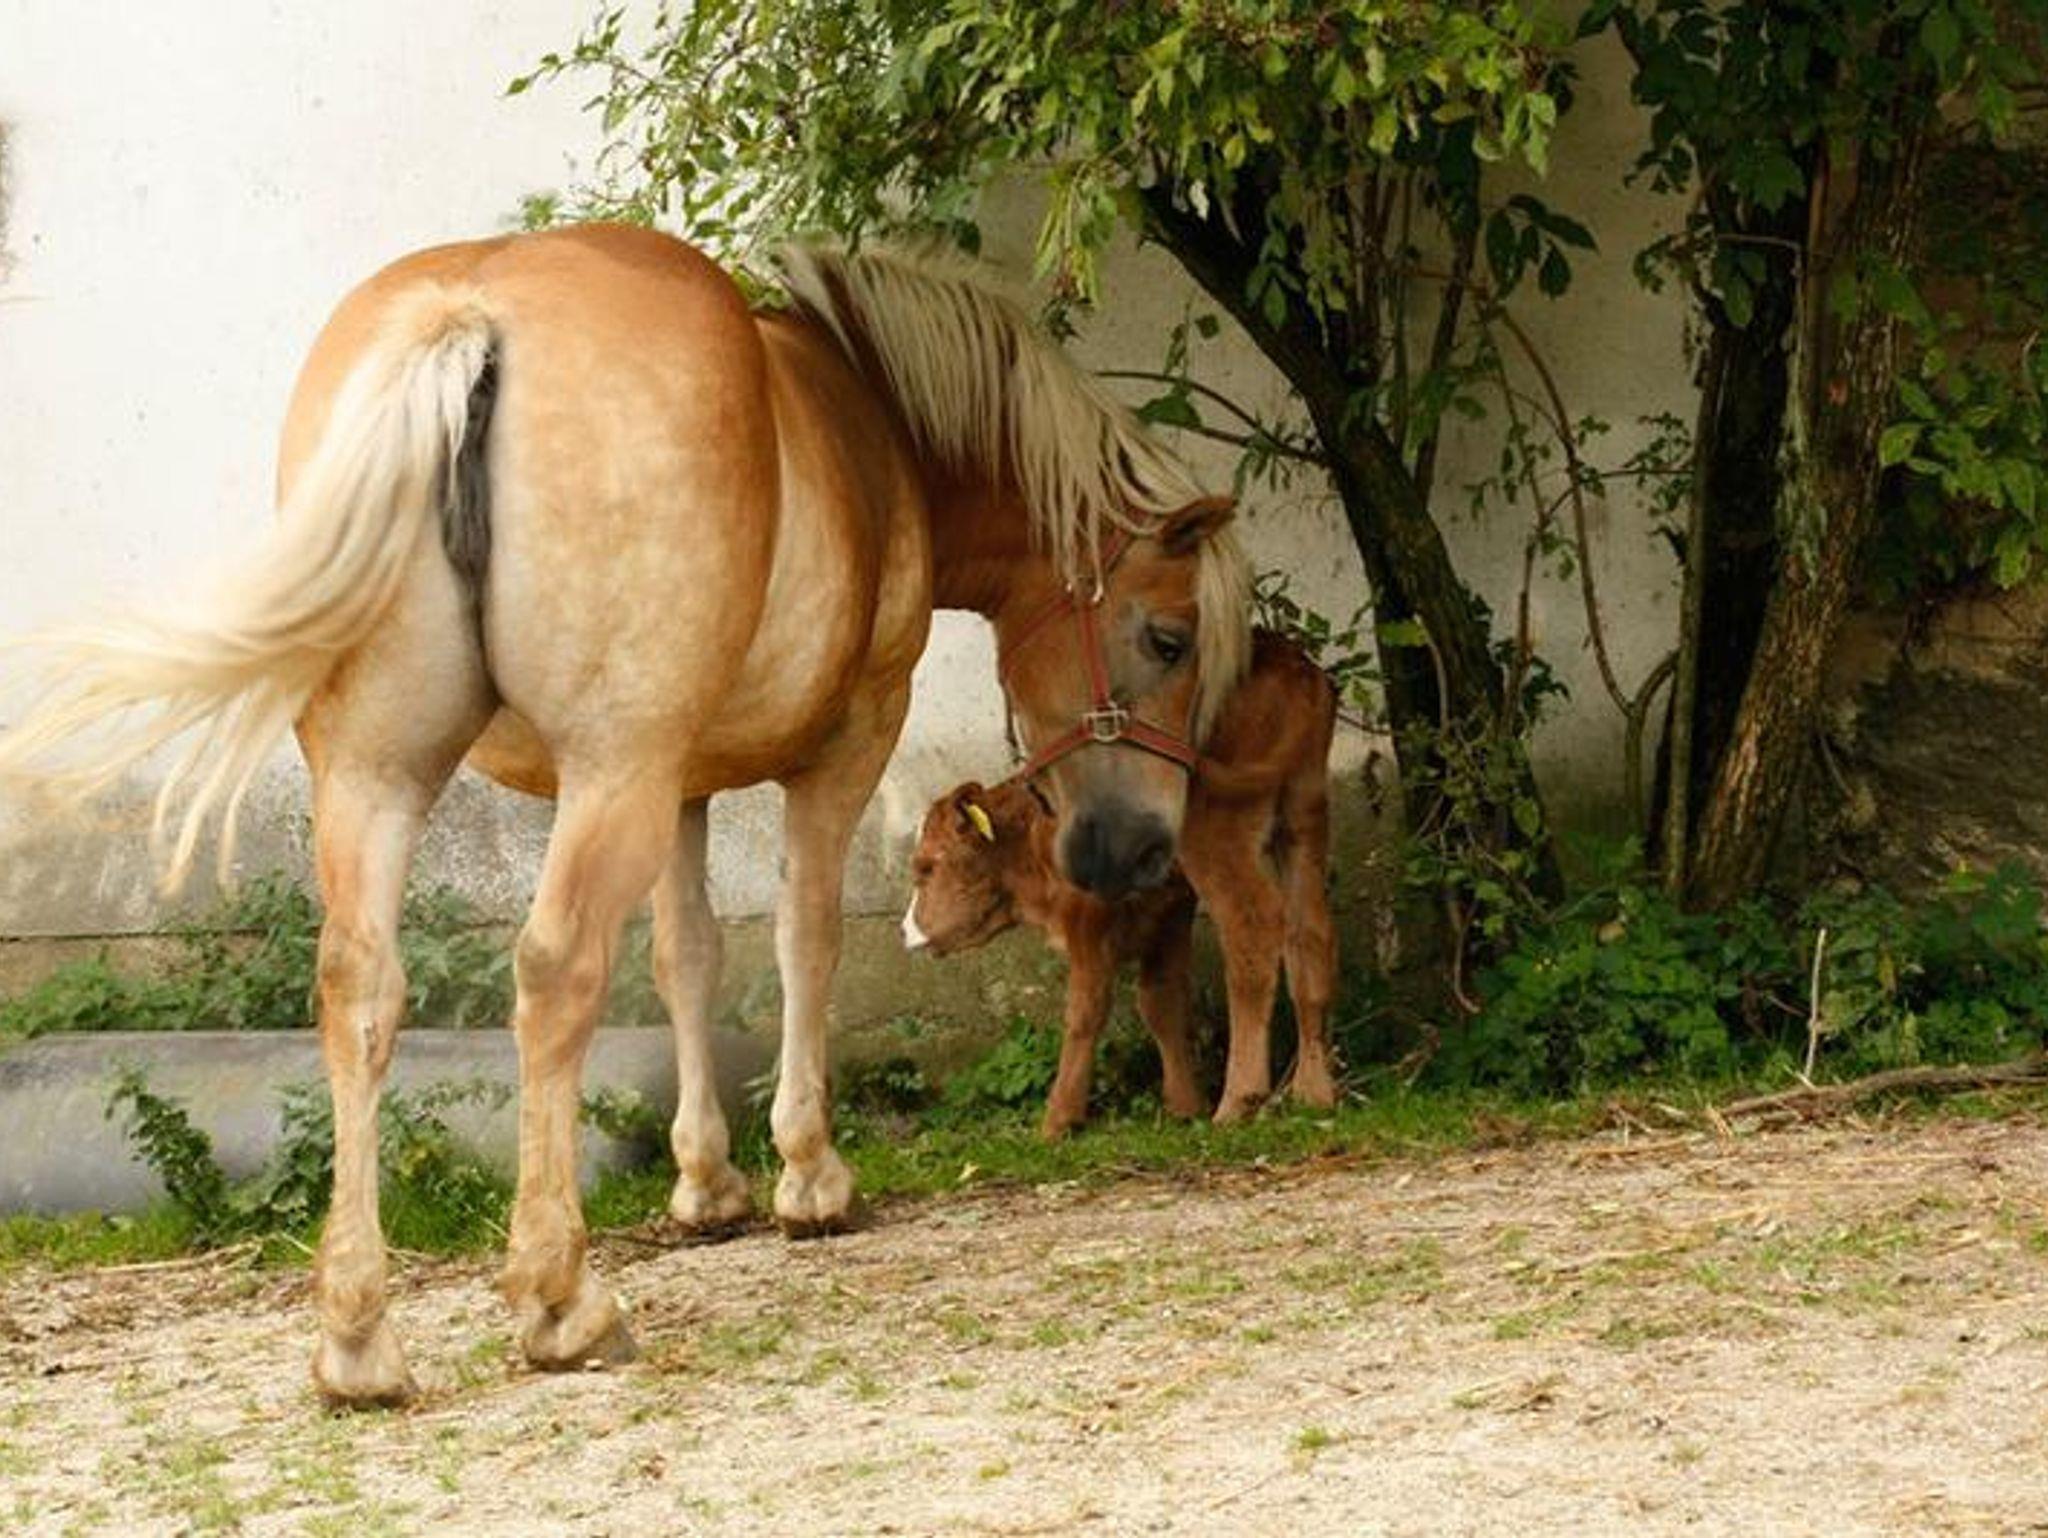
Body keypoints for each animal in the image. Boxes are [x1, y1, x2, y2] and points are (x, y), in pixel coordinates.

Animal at [0, 222, 1251, 1405]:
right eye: (1167, 637)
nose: (1141, 846)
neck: (868, 420)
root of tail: (471, 315)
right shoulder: (838, 746)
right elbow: (801, 937)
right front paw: (806, 1174)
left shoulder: (682, 783)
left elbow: (685, 955)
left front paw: (705, 1180)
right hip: (606, 771)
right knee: (554, 971)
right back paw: (560, 1298)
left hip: (377, 776)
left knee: (358, 988)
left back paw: (357, 1336)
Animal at [904, 629, 1337, 1136]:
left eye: (925, 867)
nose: (904, 930)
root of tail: (1289, 662)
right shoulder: (1166, 905)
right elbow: (1160, 1001)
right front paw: (1184, 1105)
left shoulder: (1088, 918)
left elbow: (1085, 1012)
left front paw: (1057, 1120)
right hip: (1303, 813)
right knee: (1310, 931)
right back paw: (1314, 1092)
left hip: (1219, 833)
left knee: (1253, 932)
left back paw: (1237, 1102)